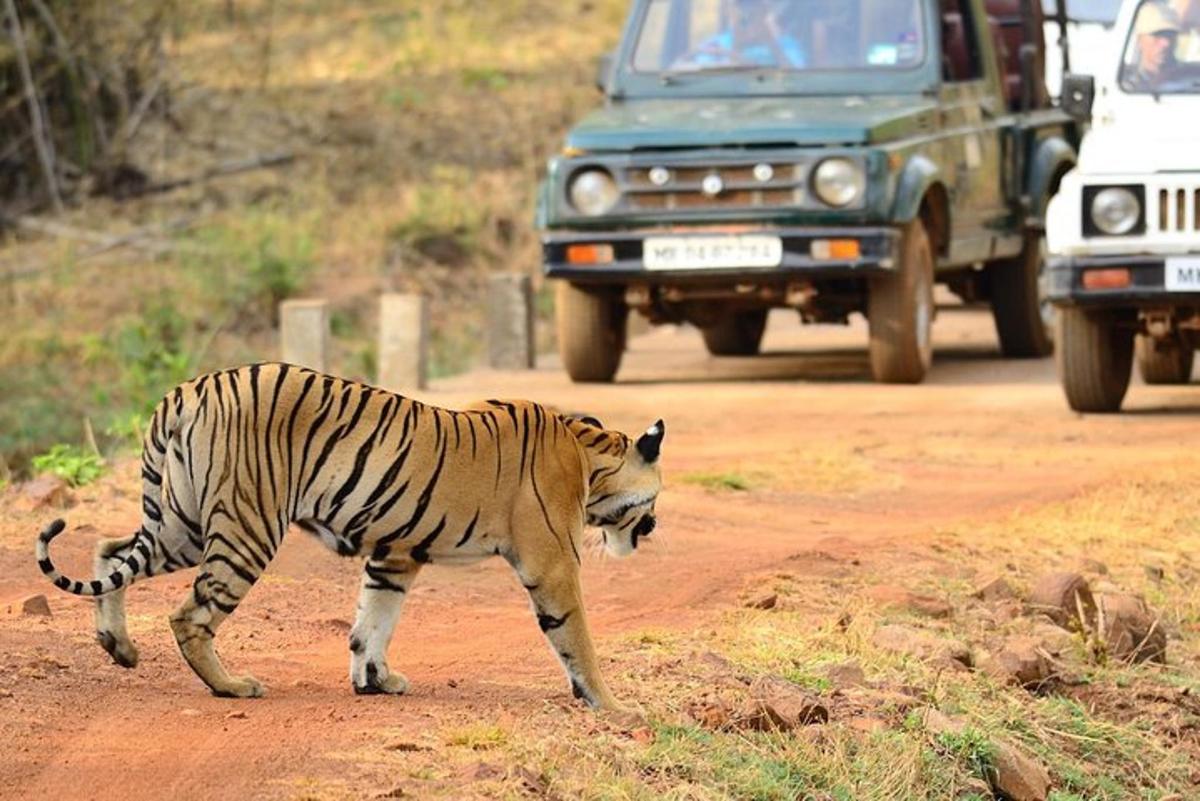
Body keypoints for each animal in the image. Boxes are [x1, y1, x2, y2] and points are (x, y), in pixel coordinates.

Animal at [35, 359, 667, 709]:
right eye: (655, 499)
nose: (655, 525)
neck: (589, 453)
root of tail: (187, 390)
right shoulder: (552, 563)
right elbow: (577, 639)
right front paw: (613, 708)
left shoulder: (395, 554)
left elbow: (373, 622)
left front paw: (374, 681)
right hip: (245, 528)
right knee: (188, 616)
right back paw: (232, 687)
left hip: (183, 523)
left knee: (109, 550)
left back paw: (119, 646)